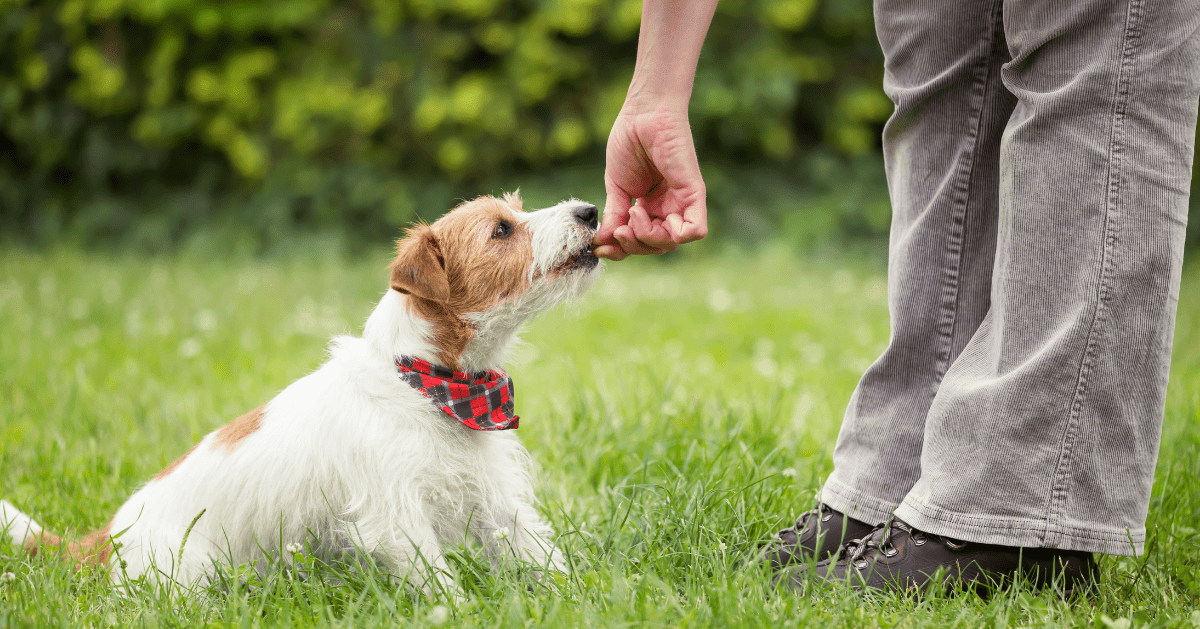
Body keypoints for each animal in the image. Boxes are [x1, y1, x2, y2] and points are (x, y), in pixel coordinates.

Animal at [0, 194, 600, 592]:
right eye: (501, 231)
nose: (590, 210)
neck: (430, 383)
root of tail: (107, 538)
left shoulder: (496, 497)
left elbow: (539, 551)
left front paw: (582, 595)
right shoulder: (396, 516)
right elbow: (438, 582)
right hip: (188, 573)